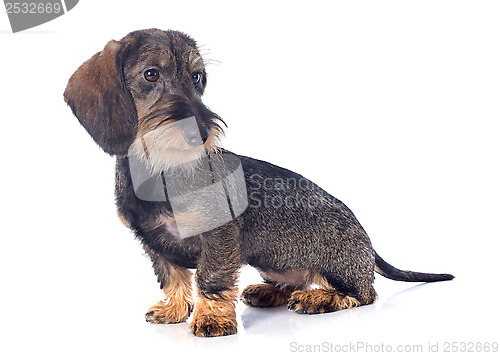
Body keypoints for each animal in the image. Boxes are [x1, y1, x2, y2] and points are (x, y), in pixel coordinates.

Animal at [62, 27, 454, 336]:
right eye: (151, 74)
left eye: (197, 77)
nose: (201, 133)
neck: (159, 171)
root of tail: (366, 240)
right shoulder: (152, 243)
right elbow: (172, 277)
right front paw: (174, 309)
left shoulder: (219, 236)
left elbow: (211, 278)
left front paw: (212, 319)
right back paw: (270, 292)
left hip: (338, 267)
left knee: (363, 294)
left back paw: (318, 298)